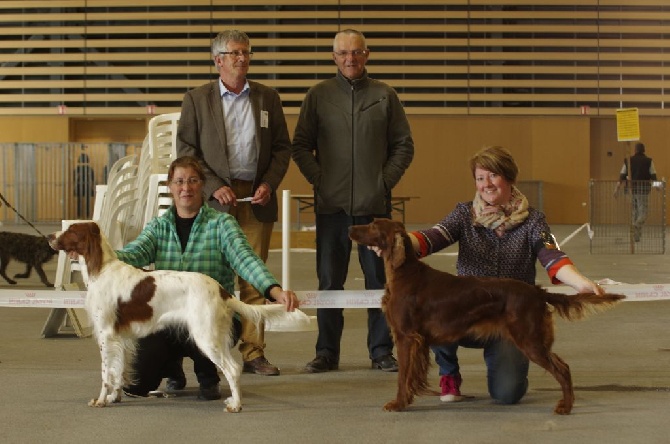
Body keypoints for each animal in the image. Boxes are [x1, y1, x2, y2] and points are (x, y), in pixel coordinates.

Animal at [47, 222, 288, 412]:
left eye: (71, 230)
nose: (49, 236)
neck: (102, 268)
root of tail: (221, 290)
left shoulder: (106, 334)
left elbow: (106, 373)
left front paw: (100, 400)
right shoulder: (119, 337)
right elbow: (118, 370)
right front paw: (115, 397)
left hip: (206, 336)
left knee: (232, 369)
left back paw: (235, 405)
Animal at [350, 219, 628, 416]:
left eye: (373, 225)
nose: (351, 228)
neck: (404, 273)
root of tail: (537, 291)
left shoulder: (406, 336)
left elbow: (402, 376)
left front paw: (397, 403)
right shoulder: (417, 339)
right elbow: (411, 376)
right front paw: (407, 399)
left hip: (529, 339)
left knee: (562, 369)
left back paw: (565, 407)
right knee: (562, 364)